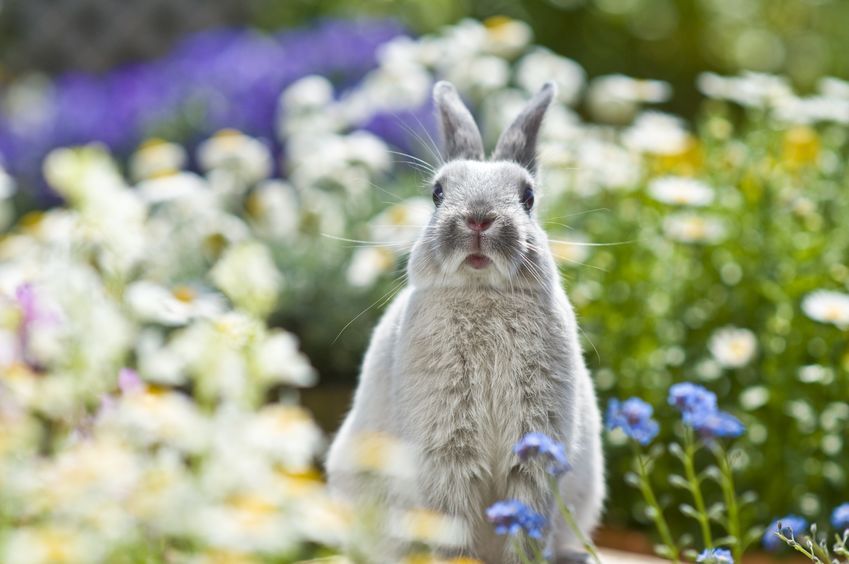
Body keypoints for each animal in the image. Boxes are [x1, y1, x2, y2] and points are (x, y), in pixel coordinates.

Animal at [326, 80, 605, 563]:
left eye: (528, 197)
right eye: (437, 193)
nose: (479, 218)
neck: (483, 296)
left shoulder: (535, 449)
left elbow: (526, 521)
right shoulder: (445, 449)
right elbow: (450, 522)